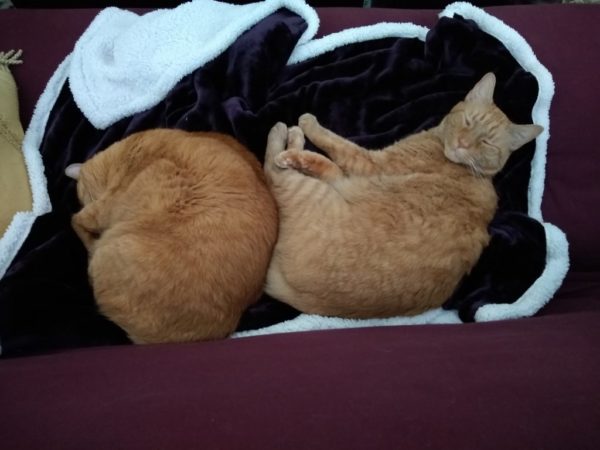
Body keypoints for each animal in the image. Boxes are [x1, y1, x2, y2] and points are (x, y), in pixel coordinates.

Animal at [263, 72, 542, 319]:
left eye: (487, 143)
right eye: (468, 122)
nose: (462, 144)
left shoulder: (371, 164)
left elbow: (334, 144)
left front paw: (306, 125)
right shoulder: (346, 177)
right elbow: (327, 164)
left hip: (302, 190)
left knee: (272, 169)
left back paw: (282, 132)